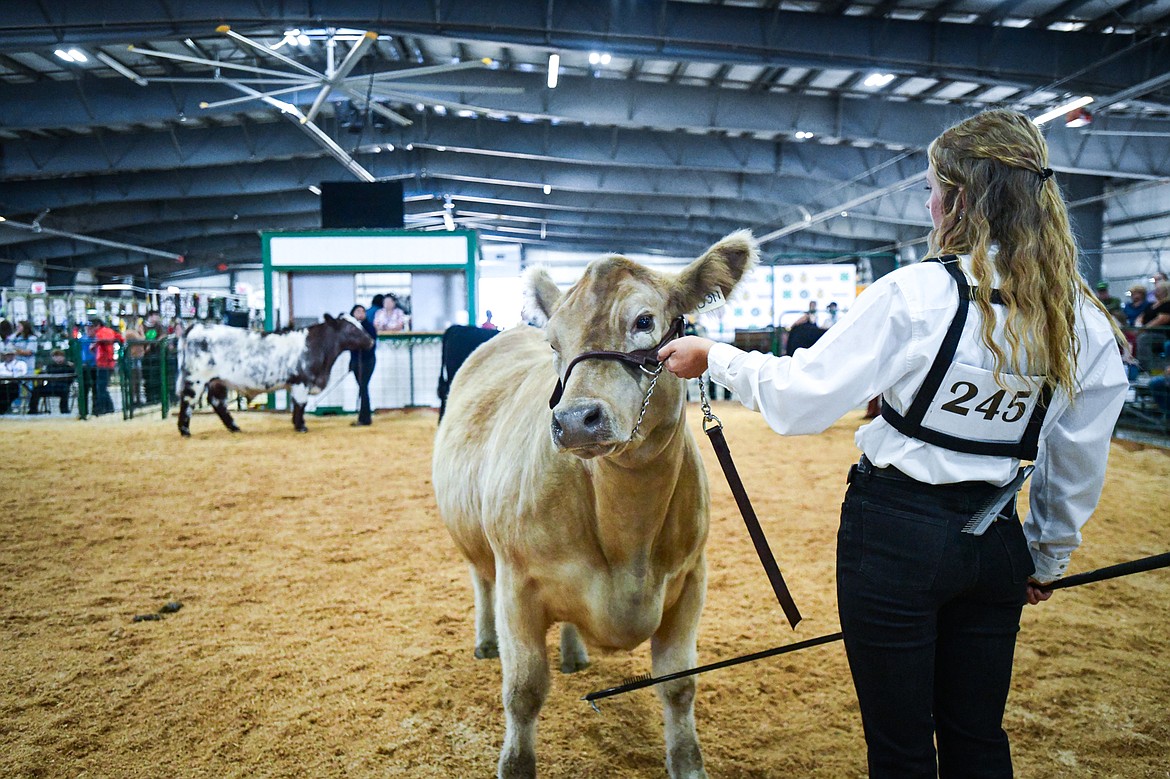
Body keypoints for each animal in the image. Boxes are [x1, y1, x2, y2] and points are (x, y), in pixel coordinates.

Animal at [176, 315, 374, 437]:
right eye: (350, 328)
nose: (371, 341)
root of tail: (198, 326)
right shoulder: (301, 382)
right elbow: (300, 405)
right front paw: (301, 426)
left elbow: (297, 405)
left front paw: (297, 424)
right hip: (196, 378)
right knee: (188, 401)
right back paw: (185, 431)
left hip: (217, 381)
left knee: (217, 403)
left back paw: (235, 428)